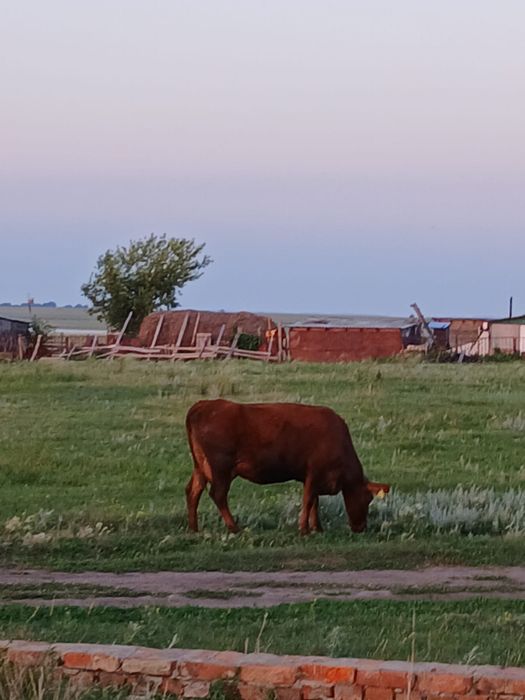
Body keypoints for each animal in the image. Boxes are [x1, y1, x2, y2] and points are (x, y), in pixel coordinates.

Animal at [185, 399, 390, 535]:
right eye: (367, 499)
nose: (361, 528)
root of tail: (204, 405)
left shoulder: (311, 476)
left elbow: (314, 501)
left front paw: (317, 528)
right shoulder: (315, 472)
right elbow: (308, 500)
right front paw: (304, 529)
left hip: (201, 467)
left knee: (193, 491)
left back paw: (194, 528)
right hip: (221, 468)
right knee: (218, 494)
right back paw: (235, 528)